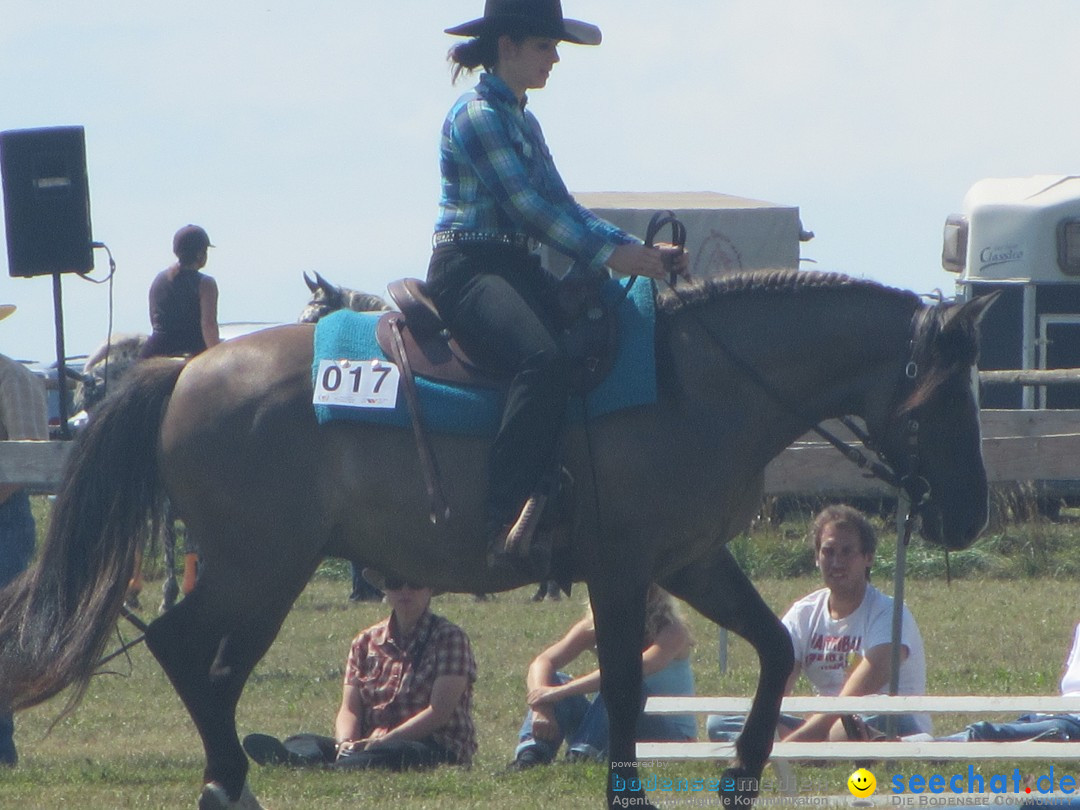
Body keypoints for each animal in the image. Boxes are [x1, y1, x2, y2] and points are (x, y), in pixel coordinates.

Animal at [0, 274, 989, 810]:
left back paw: (231, 777)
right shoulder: (622, 568)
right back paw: (229, 779)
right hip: (260, 567)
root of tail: (185, 370)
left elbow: (776, 647)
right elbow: (623, 691)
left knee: (207, 665)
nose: (970, 514)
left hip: (262, 570)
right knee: (187, 651)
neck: (698, 385)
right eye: (941, 397)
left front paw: (742, 774)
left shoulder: (689, 561)